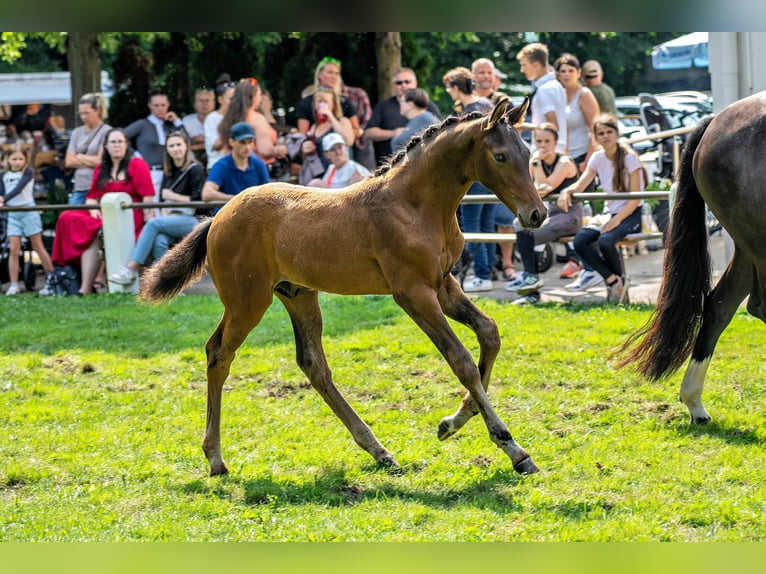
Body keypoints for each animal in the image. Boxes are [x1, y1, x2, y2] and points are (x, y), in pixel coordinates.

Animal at [141, 99, 548, 476]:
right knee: (218, 354)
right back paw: (215, 458)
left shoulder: (444, 285)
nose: (537, 214)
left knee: (313, 365)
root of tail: (217, 216)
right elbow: (461, 360)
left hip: (298, 294)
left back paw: (379, 450)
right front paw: (512, 448)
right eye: (500, 156)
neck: (413, 205)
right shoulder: (413, 294)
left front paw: (451, 422)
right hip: (247, 302)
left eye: (528, 154)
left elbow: (489, 334)